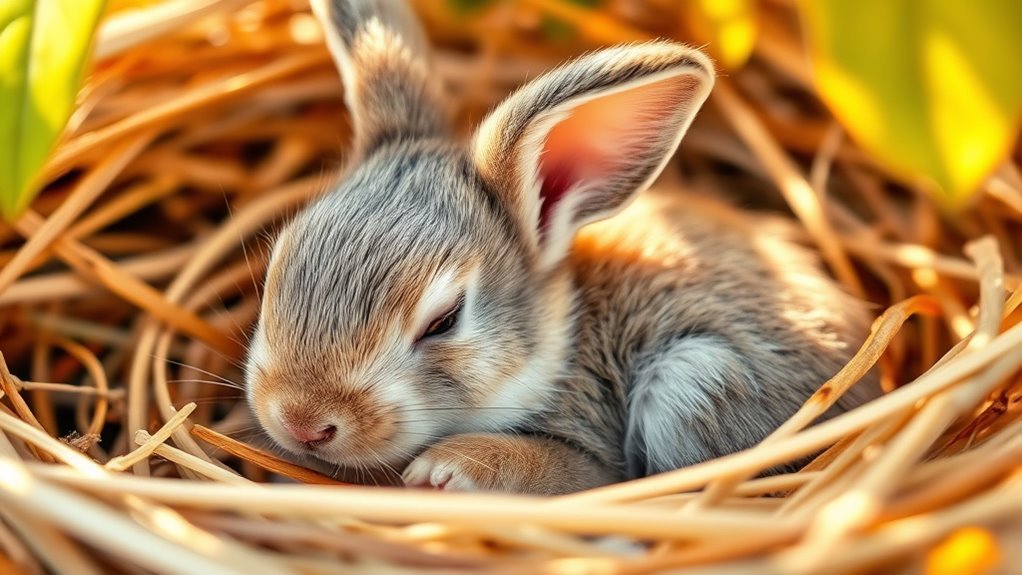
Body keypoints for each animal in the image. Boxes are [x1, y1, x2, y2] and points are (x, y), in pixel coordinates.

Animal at [244, 0, 880, 495]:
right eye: (278, 263)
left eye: (444, 320)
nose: (303, 421)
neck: (561, 343)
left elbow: (582, 473)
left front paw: (451, 467)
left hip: (693, 382)